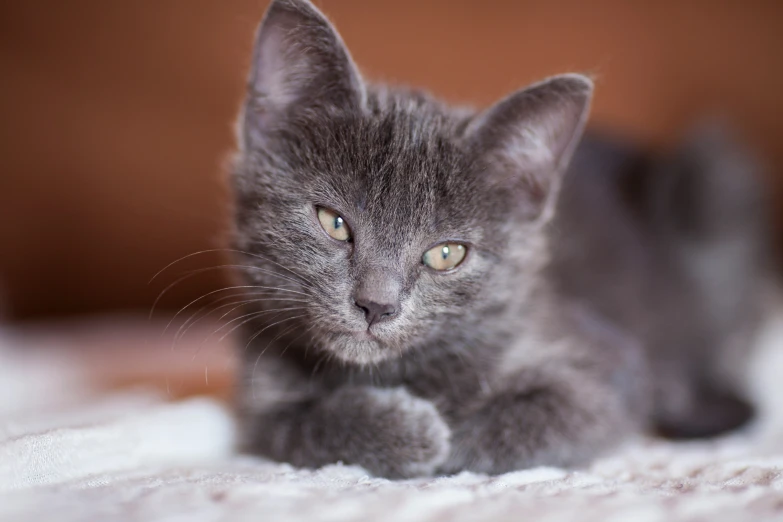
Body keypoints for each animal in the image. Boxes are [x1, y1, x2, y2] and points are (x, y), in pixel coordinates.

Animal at [228, 0, 772, 478]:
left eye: (446, 254)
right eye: (334, 222)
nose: (375, 305)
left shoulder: (615, 365)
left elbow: (557, 410)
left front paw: (450, 438)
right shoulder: (259, 386)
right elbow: (289, 428)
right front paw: (402, 431)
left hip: (714, 180)